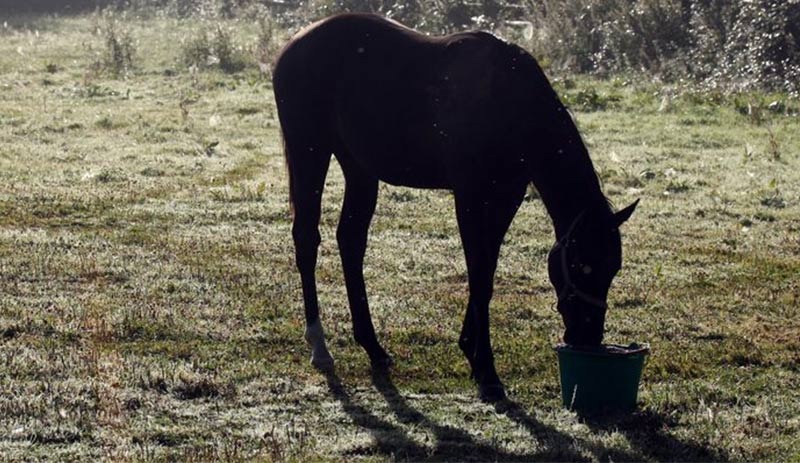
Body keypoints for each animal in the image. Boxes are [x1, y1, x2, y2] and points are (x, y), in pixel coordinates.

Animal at [276, 12, 636, 400]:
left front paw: (472, 353)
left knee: (351, 241)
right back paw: (320, 347)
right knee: (307, 239)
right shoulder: (469, 197)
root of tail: (294, 44)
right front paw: (487, 371)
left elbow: (487, 271)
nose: (588, 336)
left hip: (359, 168)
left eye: (613, 269)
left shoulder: (506, 197)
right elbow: (479, 276)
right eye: (582, 266)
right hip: (309, 151)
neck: (510, 100)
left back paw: (373, 347)